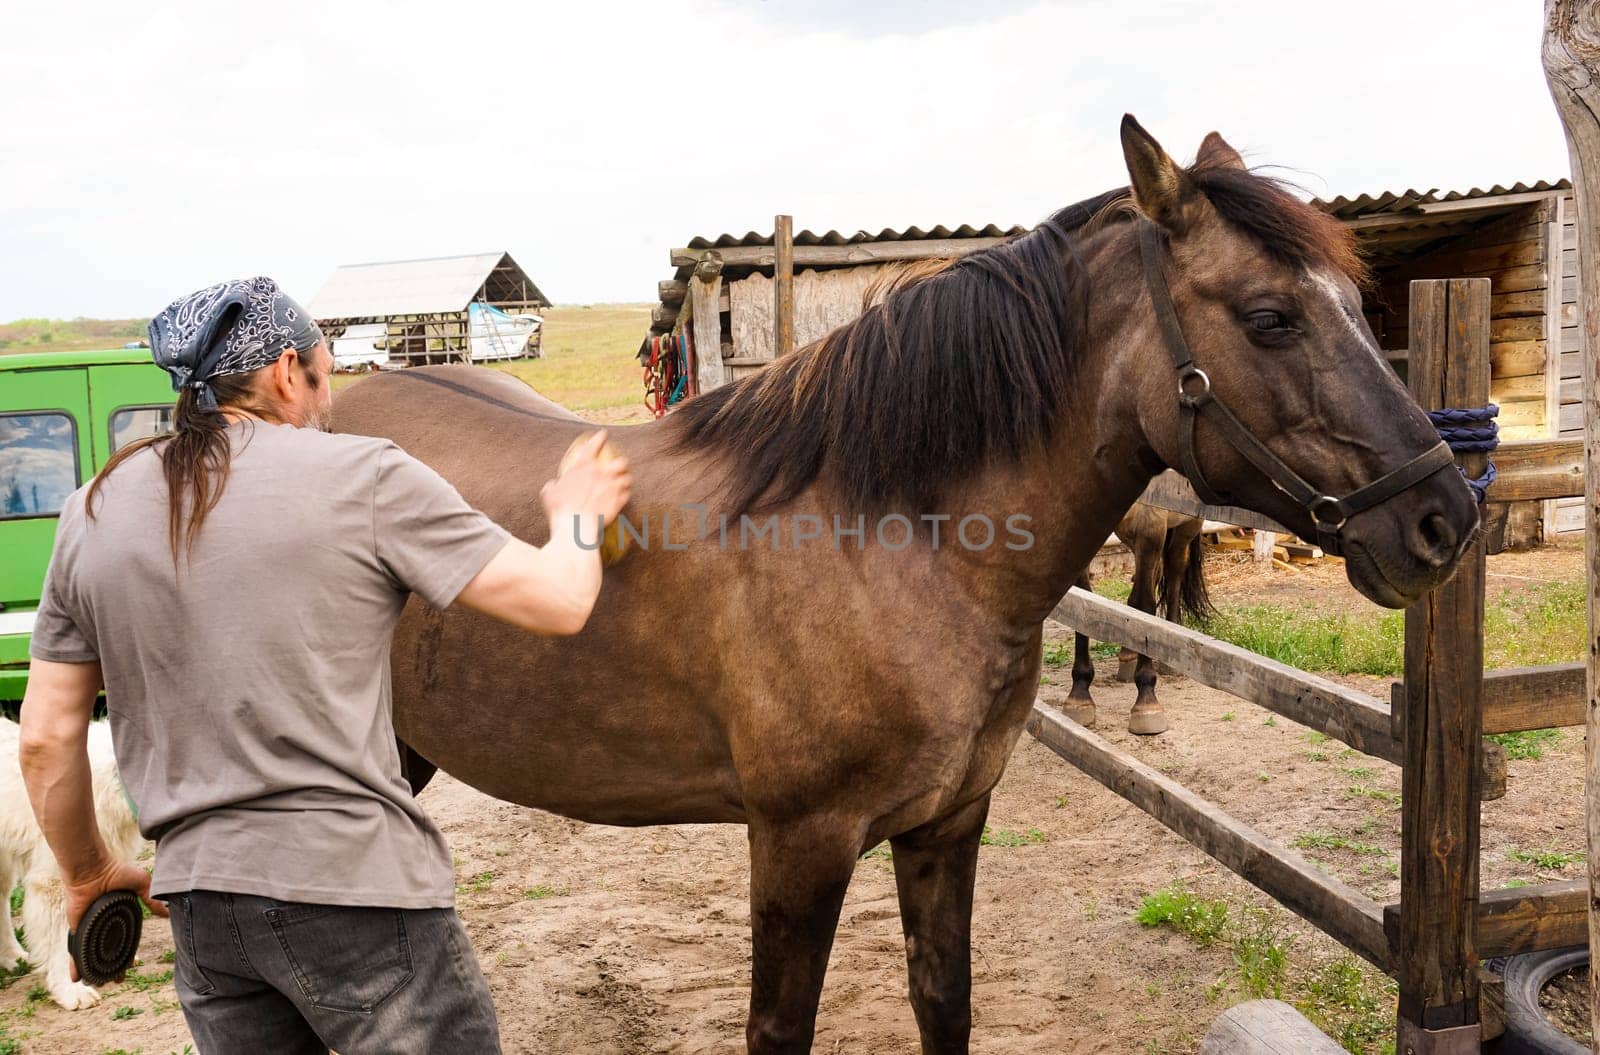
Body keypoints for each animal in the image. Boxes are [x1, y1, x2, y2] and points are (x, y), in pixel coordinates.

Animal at [1068, 502, 1203, 733]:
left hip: (1187, 526)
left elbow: (1145, 607)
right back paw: (1128, 656)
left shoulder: (1150, 530)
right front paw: (1079, 694)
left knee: (1175, 569)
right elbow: (1081, 604)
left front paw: (1146, 701)